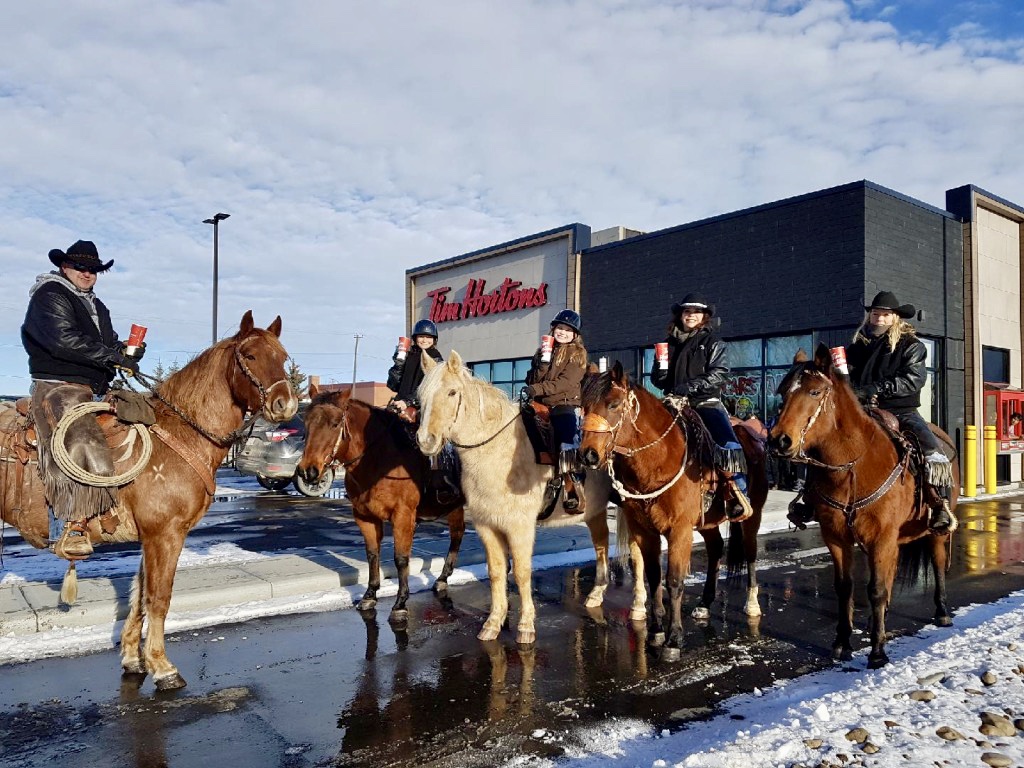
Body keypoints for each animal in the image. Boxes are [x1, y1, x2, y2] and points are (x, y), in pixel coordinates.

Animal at [0, 313, 299, 692]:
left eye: (283, 357)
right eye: (249, 355)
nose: (285, 404)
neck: (181, 434)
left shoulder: (151, 537)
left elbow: (139, 597)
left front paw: (133, 659)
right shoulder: (165, 534)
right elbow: (159, 598)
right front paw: (162, 667)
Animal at [296, 382, 468, 622]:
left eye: (335, 423)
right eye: (306, 422)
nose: (308, 471)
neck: (378, 460)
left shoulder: (403, 515)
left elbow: (401, 558)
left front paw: (400, 604)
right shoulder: (364, 516)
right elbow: (372, 554)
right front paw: (370, 595)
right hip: (455, 506)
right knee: (457, 535)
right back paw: (442, 578)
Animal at [413, 352, 634, 647]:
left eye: (452, 392)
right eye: (420, 396)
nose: (426, 441)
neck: (499, 450)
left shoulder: (520, 527)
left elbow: (521, 571)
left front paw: (526, 626)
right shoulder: (487, 526)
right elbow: (496, 572)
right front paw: (493, 624)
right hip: (595, 512)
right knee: (601, 546)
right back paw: (596, 595)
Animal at [577, 360, 770, 663]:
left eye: (614, 404)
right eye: (584, 406)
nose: (588, 455)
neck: (658, 460)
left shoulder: (679, 530)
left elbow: (675, 581)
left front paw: (674, 640)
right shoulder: (645, 530)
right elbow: (654, 576)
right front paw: (656, 630)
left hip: (752, 515)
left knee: (750, 553)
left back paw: (752, 604)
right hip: (707, 522)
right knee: (716, 548)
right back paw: (705, 603)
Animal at [770, 346, 958, 671]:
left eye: (815, 391)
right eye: (782, 391)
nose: (779, 440)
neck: (853, 466)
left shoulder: (881, 537)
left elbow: (876, 588)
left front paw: (878, 651)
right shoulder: (837, 538)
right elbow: (846, 587)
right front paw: (842, 643)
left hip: (935, 533)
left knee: (936, 564)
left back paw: (942, 612)